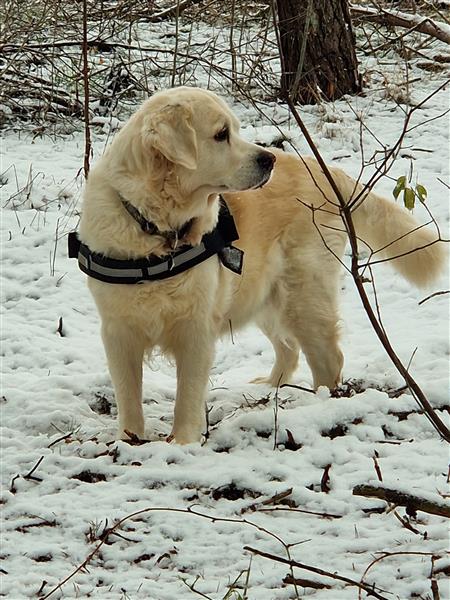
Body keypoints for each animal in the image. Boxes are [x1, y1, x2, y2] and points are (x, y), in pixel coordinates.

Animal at [76, 86, 442, 442]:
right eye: (221, 134)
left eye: (235, 130)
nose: (269, 159)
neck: (156, 229)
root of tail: (325, 171)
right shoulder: (118, 331)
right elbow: (128, 395)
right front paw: (129, 440)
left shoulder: (196, 327)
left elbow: (188, 396)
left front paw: (182, 442)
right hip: (263, 294)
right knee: (290, 349)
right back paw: (271, 389)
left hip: (302, 296)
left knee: (327, 358)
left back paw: (321, 406)